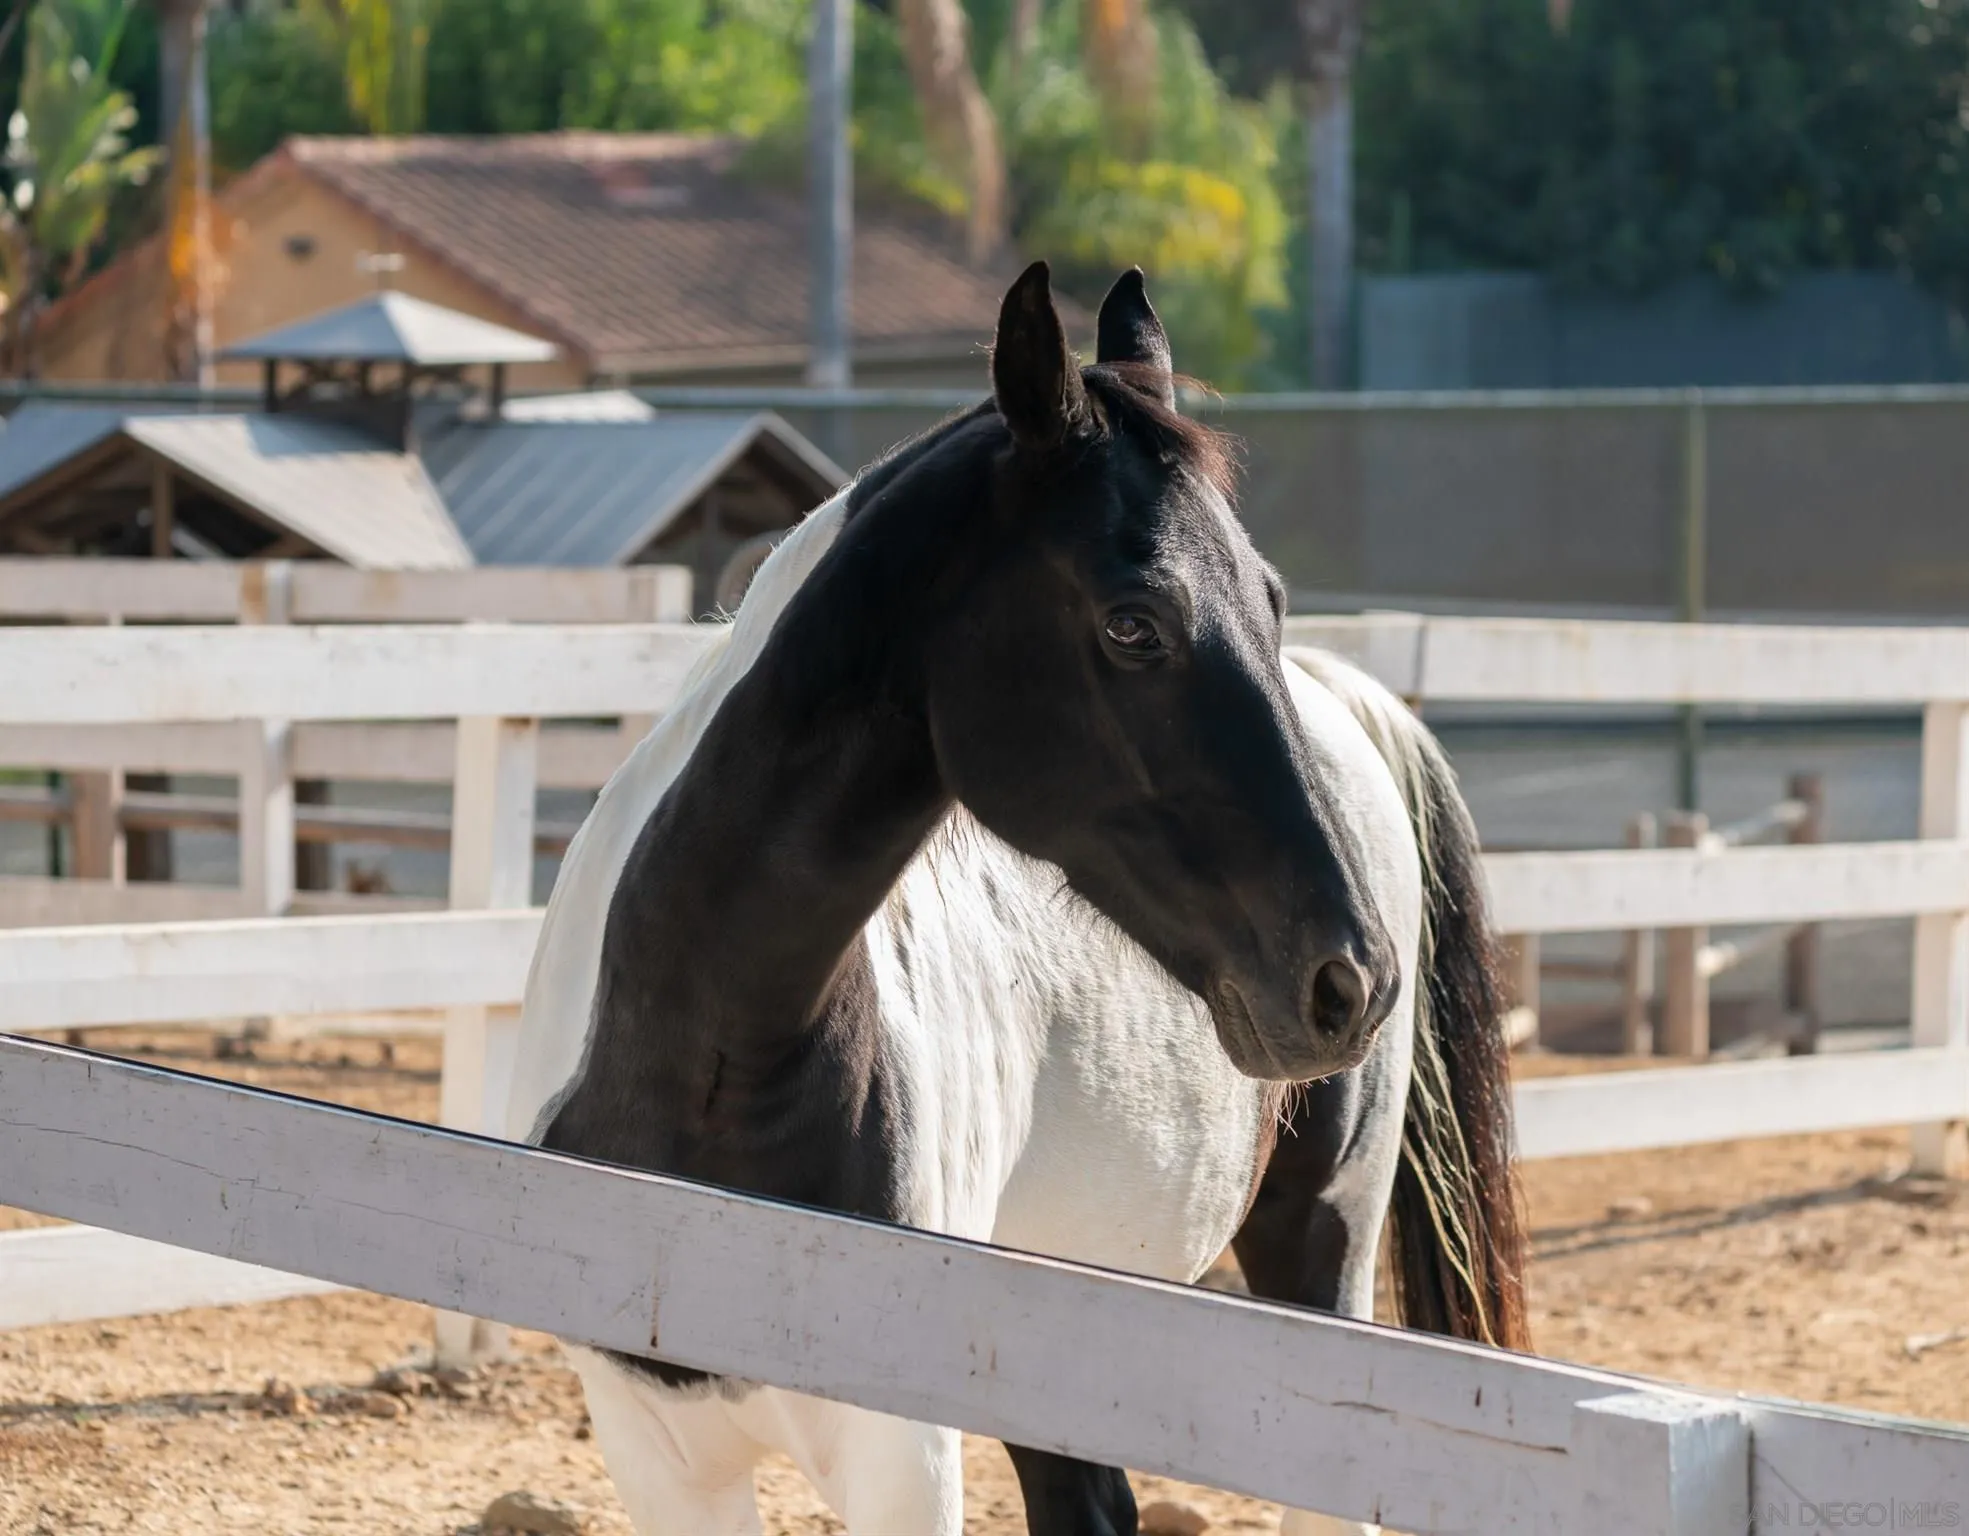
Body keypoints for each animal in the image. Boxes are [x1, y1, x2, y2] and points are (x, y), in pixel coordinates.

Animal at [502, 262, 1528, 1536]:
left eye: (1271, 596)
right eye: (1133, 622)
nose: (1349, 980)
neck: (704, 1087)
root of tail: (1348, 700)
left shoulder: (900, 1455)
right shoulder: (660, 1454)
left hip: (1318, 1254)